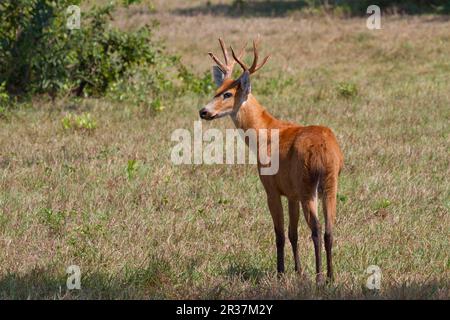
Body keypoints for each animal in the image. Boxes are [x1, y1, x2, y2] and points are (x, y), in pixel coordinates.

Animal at [199, 38, 342, 282]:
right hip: (330, 184)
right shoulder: (291, 193)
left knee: (315, 228)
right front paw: (298, 270)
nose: (203, 111)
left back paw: (319, 277)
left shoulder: (272, 188)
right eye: (216, 90)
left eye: (227, 94)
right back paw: (331, 277)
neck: (264, 133)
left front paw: (281, 272)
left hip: (307, 185)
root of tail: (324, 153)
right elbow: (293, 233)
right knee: (329, 230)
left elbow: (280, 234)